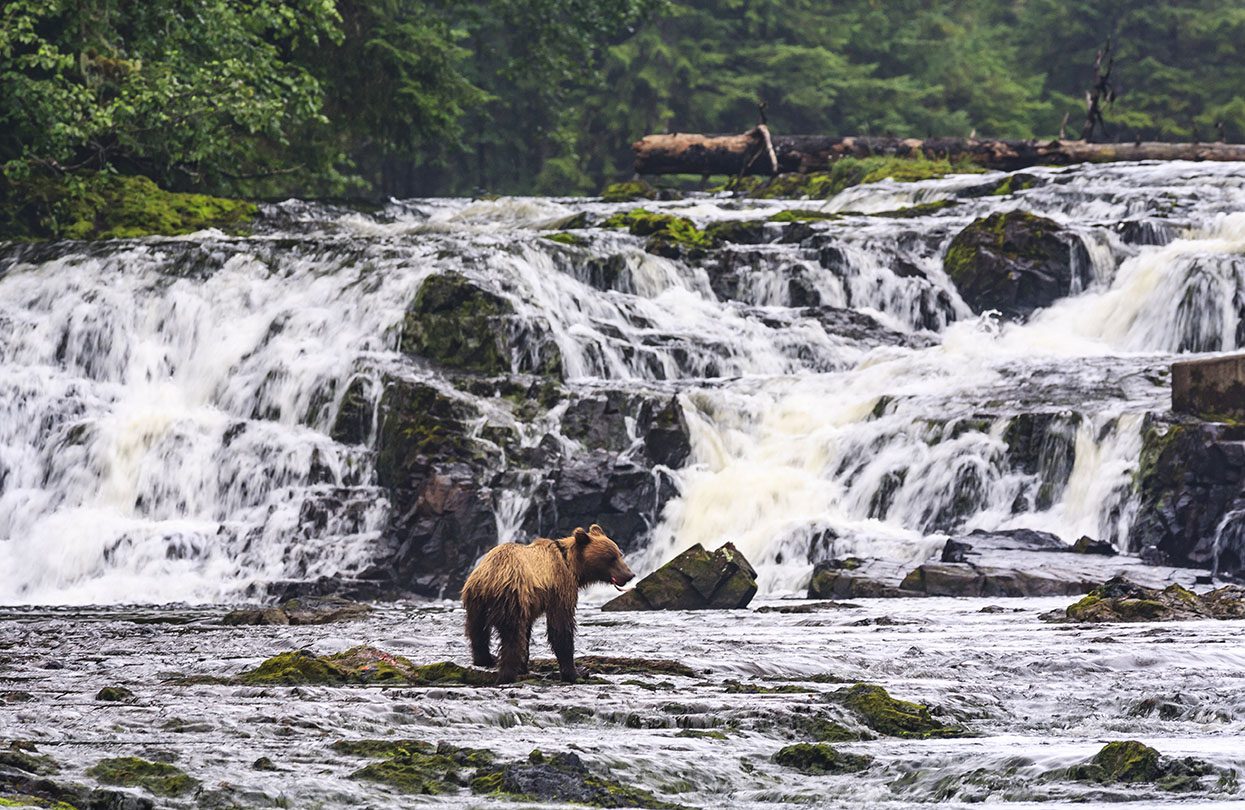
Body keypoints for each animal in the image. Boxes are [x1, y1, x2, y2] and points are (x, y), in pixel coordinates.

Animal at [458, 525, 632, 686]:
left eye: (619, 554)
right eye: (611, 558)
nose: (629, 575)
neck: (571, 565)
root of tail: (489, 578)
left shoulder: (530, 603)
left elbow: (528, 631)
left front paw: (524, 665)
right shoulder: (560, 588)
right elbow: (561, 628)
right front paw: (577, 672)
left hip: (476, 601)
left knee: (477, 631)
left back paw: (486, 659)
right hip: (511, 597)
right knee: (511, 636)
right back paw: (506, 674)